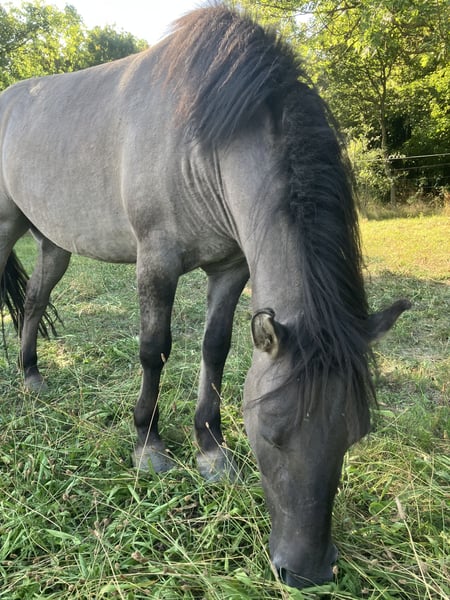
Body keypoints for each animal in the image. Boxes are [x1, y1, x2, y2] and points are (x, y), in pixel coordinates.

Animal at [0, 5, 410, 590]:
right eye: (273, 434)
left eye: (356, 432)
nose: (307, 571)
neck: (205, 142)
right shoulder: (157, 262)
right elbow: (154, 349)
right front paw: (148, 443)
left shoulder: (231, 269)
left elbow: (214, 348)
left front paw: (211, 450)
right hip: (5, 227)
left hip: (54, 242)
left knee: (34, 302)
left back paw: (32, 376)